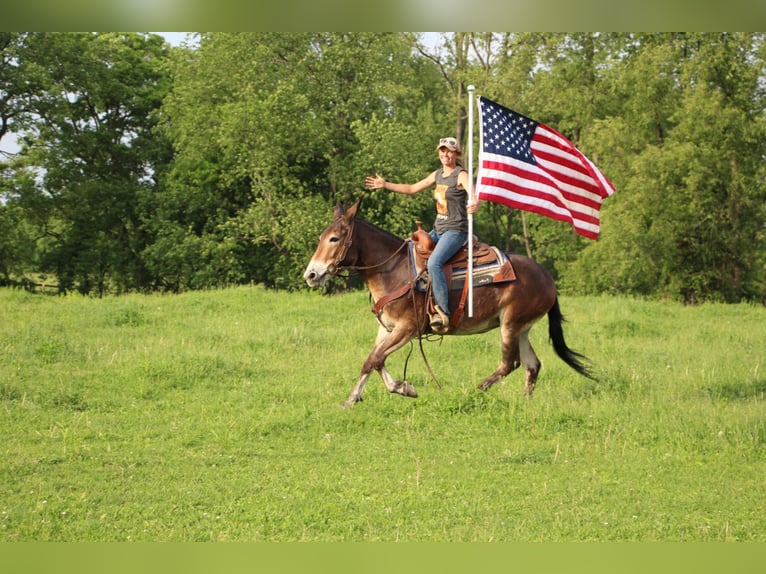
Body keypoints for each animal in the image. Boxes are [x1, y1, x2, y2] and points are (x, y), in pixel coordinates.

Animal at [304, 200, 596, 408]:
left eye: (334, 238)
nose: (311, 275)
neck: (394, 269)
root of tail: (547, 277)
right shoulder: (387, 329)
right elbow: (371, 361)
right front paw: (353, 398)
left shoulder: (408, 328)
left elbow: (376, 359)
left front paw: (403, 388)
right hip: (522, 327)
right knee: (532, 365)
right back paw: (525, 402)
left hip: (510, 324)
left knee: (510, 363)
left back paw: (477, 390)